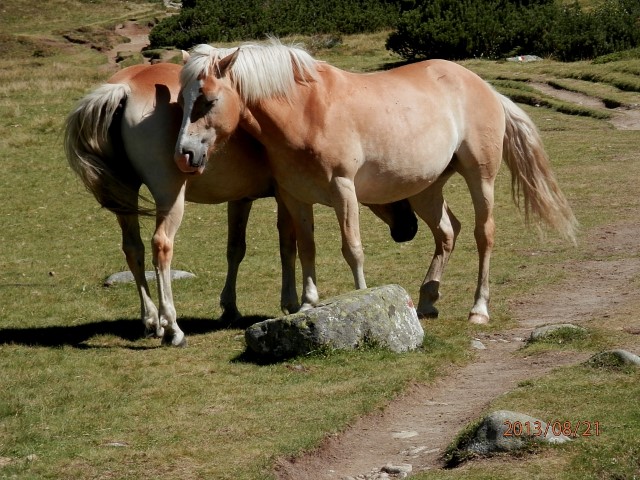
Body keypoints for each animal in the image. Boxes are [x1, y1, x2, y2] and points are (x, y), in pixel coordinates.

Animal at [62, 61, 418, 344]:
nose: (409, 229)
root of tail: (123, 86)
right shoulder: (286, 195)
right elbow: (288, 244)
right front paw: (291, 301)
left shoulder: (242, 198)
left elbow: (236, 249)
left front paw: (230, 306)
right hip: (169, 197)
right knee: (160, 246)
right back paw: (172, 327)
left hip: (126, 197)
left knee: (133, 250)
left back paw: (151, 320)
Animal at [176, 41, 580, 324]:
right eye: (183, 100)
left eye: (208, 100)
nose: (185, 154)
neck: (307, 110)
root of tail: (485, 87)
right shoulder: (295, 196)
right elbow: (305, 249)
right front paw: (307, 304)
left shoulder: (343, 189)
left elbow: (352, 248)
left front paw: (361, 298)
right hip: (426, 188)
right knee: (448, 232)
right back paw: (427, 301)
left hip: (480, 177)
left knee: (485, 234)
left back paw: (478, 309)